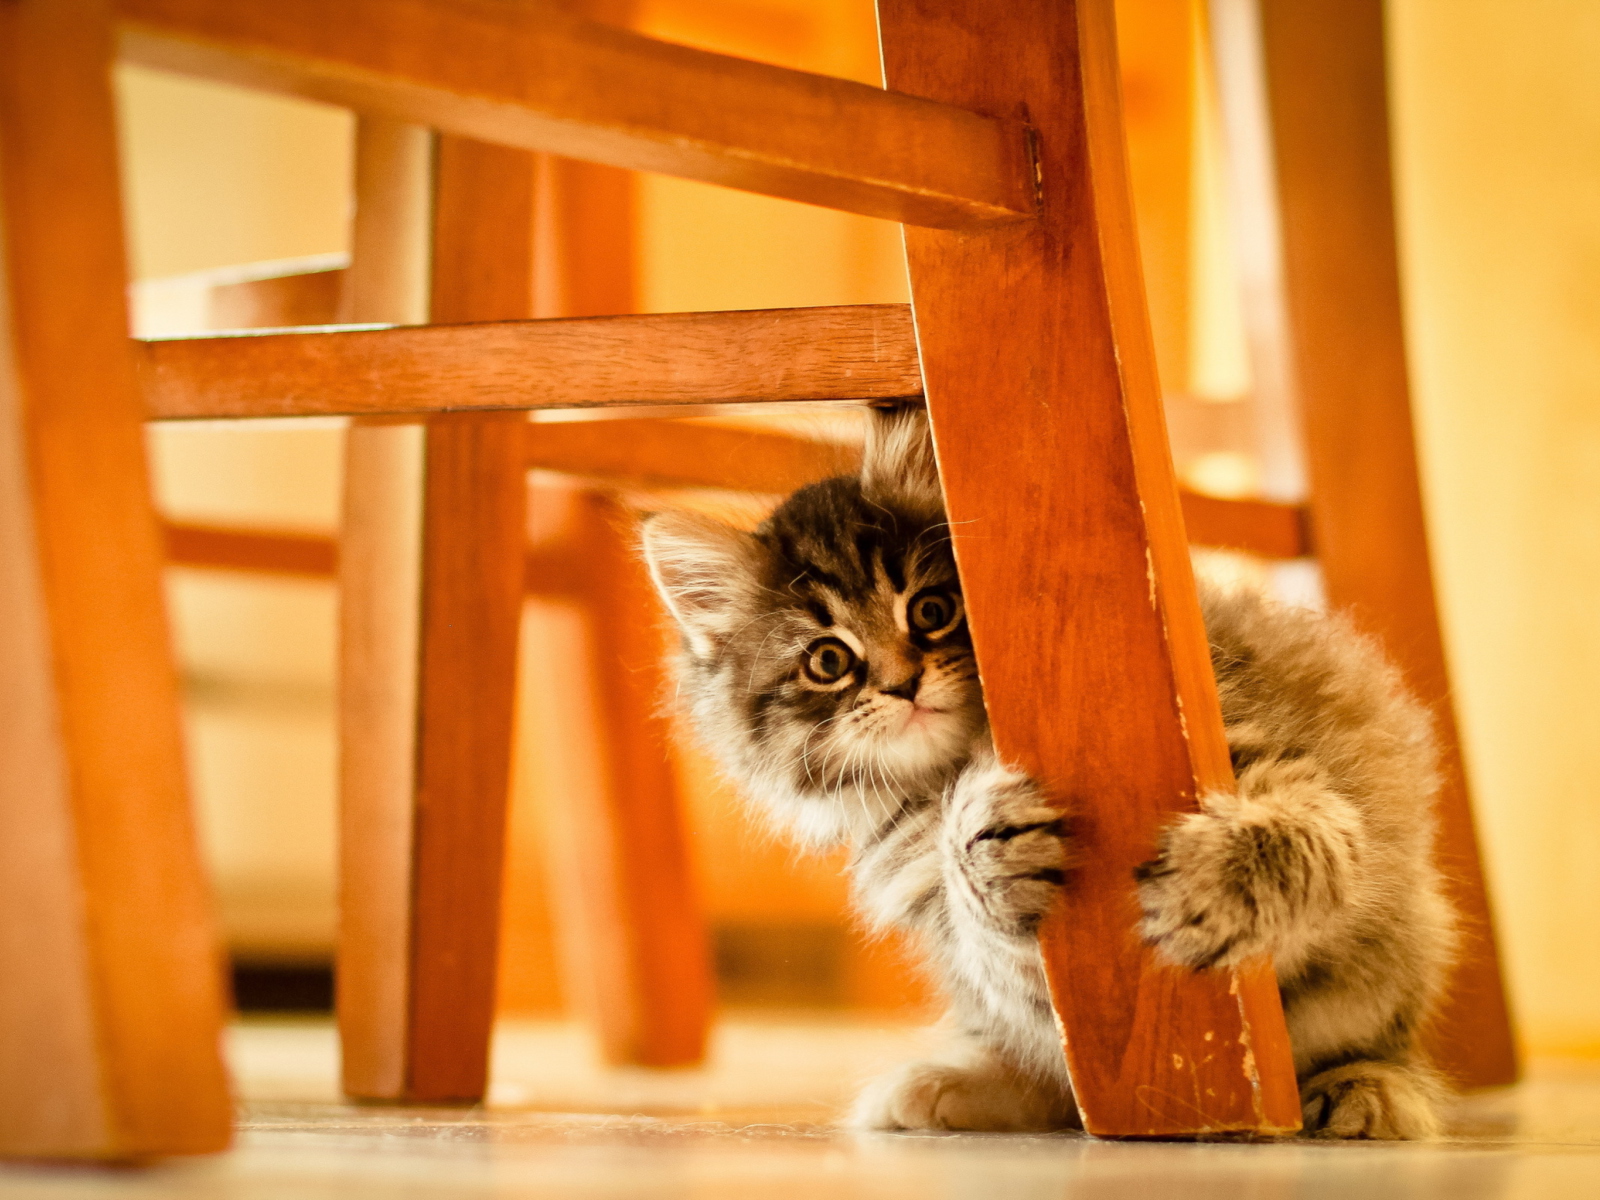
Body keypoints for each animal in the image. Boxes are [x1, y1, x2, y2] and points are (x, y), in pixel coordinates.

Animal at [640, 409, 1465, 1139]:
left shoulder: (1257, 750)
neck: (949, 768)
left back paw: (1368, 1089)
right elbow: (997, 944)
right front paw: (986, 850)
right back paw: (950, 1084)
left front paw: (1222, 884)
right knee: (1051, 1085)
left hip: (1398, 947)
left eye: (932, 610)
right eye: (829, 661)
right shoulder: (956, 926)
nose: (904, 686)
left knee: (1374, 1041)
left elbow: (1301, 834)